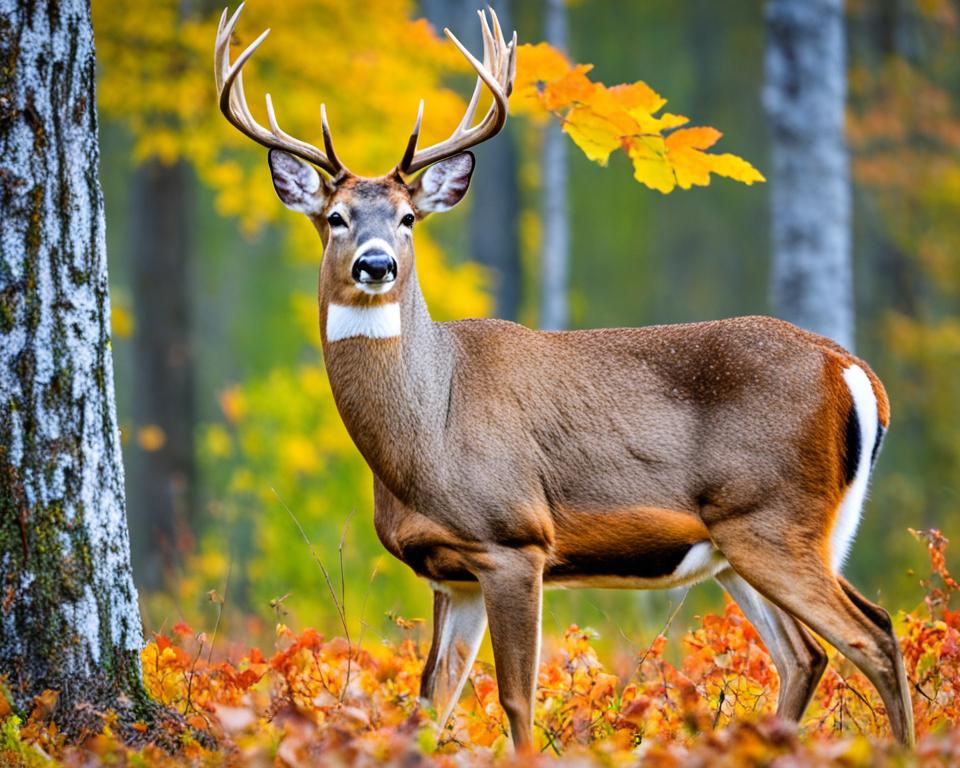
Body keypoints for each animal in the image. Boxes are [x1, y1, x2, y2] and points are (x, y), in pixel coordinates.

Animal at [216, 3, 916, 752]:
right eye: (335, 217)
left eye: (407, 219)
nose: (377, 264)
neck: (426, 432)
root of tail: (855, 372)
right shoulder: (451, 574)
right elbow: (430, 702)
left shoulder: (514, 539)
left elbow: (515, 699)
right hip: (740, 542)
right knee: (807, 654)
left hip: (776, 520)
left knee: (874, 634)